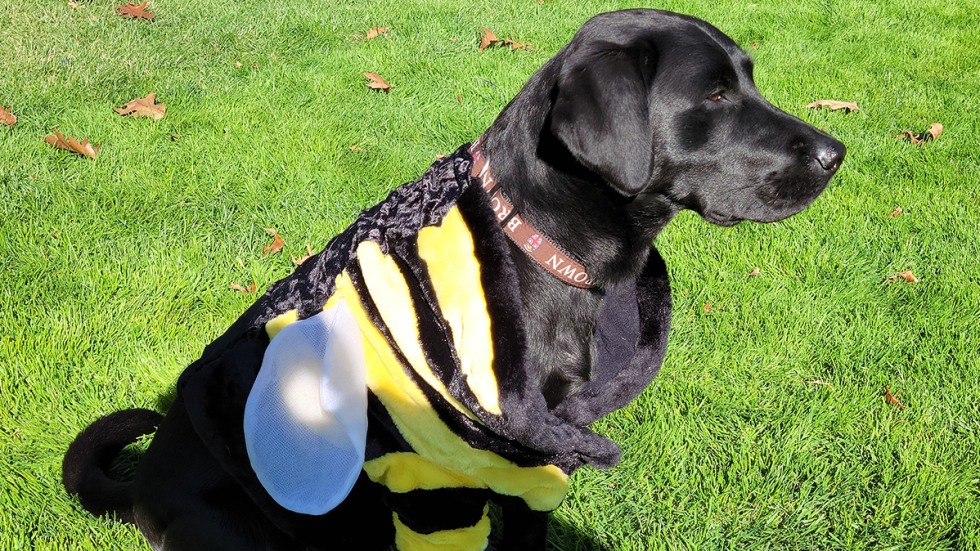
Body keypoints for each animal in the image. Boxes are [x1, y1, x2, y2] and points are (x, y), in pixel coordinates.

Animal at [61, 9, 844, 551]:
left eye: (747, 79)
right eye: (713, 96)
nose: (837, 152)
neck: (543, 248)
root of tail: (145, 479)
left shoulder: (537, 466)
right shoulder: (438, 479)